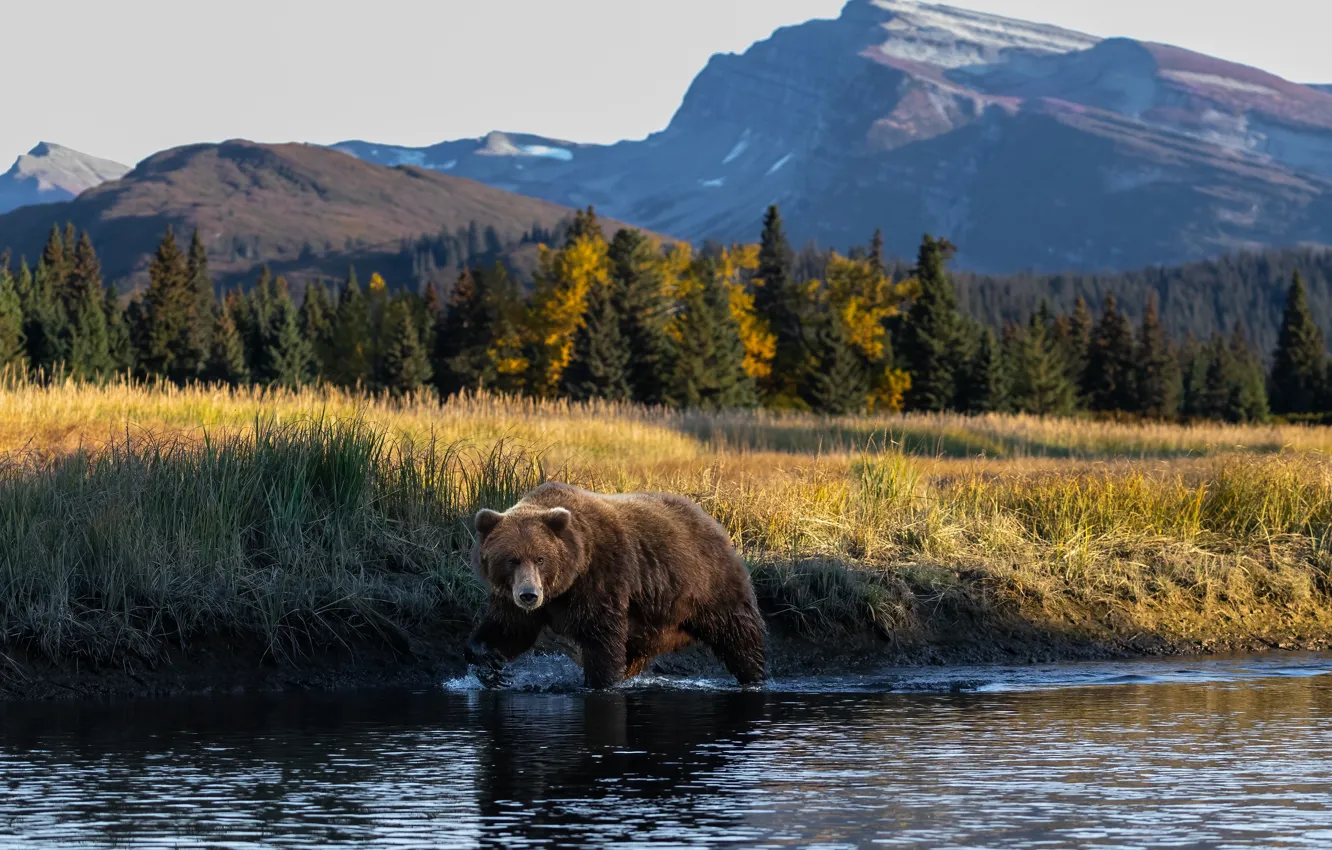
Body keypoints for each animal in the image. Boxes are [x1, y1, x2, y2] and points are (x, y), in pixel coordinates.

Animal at [464, 481, 767, 689]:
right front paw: (489, 661)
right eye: (511, 560)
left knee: (737, 634)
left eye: (540, 558)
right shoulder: (514, 599)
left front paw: (598, 681)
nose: (529, 595)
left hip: (706, 584)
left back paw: (753, 675)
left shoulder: (601, 579)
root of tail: (712, 520)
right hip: (653, 620)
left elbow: (601, 639)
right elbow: (509, 629)